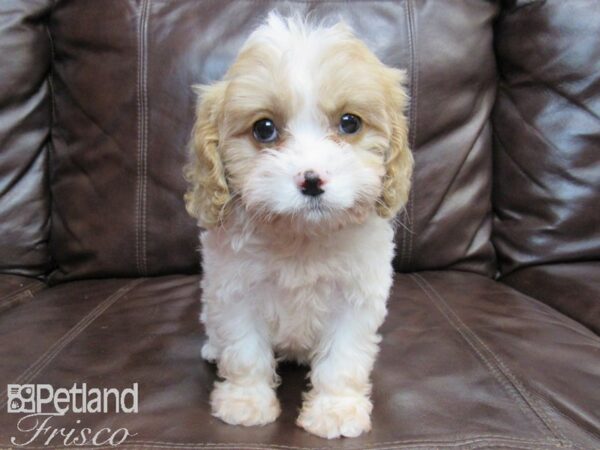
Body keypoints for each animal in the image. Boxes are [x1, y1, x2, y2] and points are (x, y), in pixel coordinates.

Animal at [185, 14, 412, 440]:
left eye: (349, 123)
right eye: (264, 129)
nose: (311, 180)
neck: (301, 237)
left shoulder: (355, 298)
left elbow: (343, 358)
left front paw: (335, 410)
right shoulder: (235, 291)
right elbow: (244, 350)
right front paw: (245, 403)